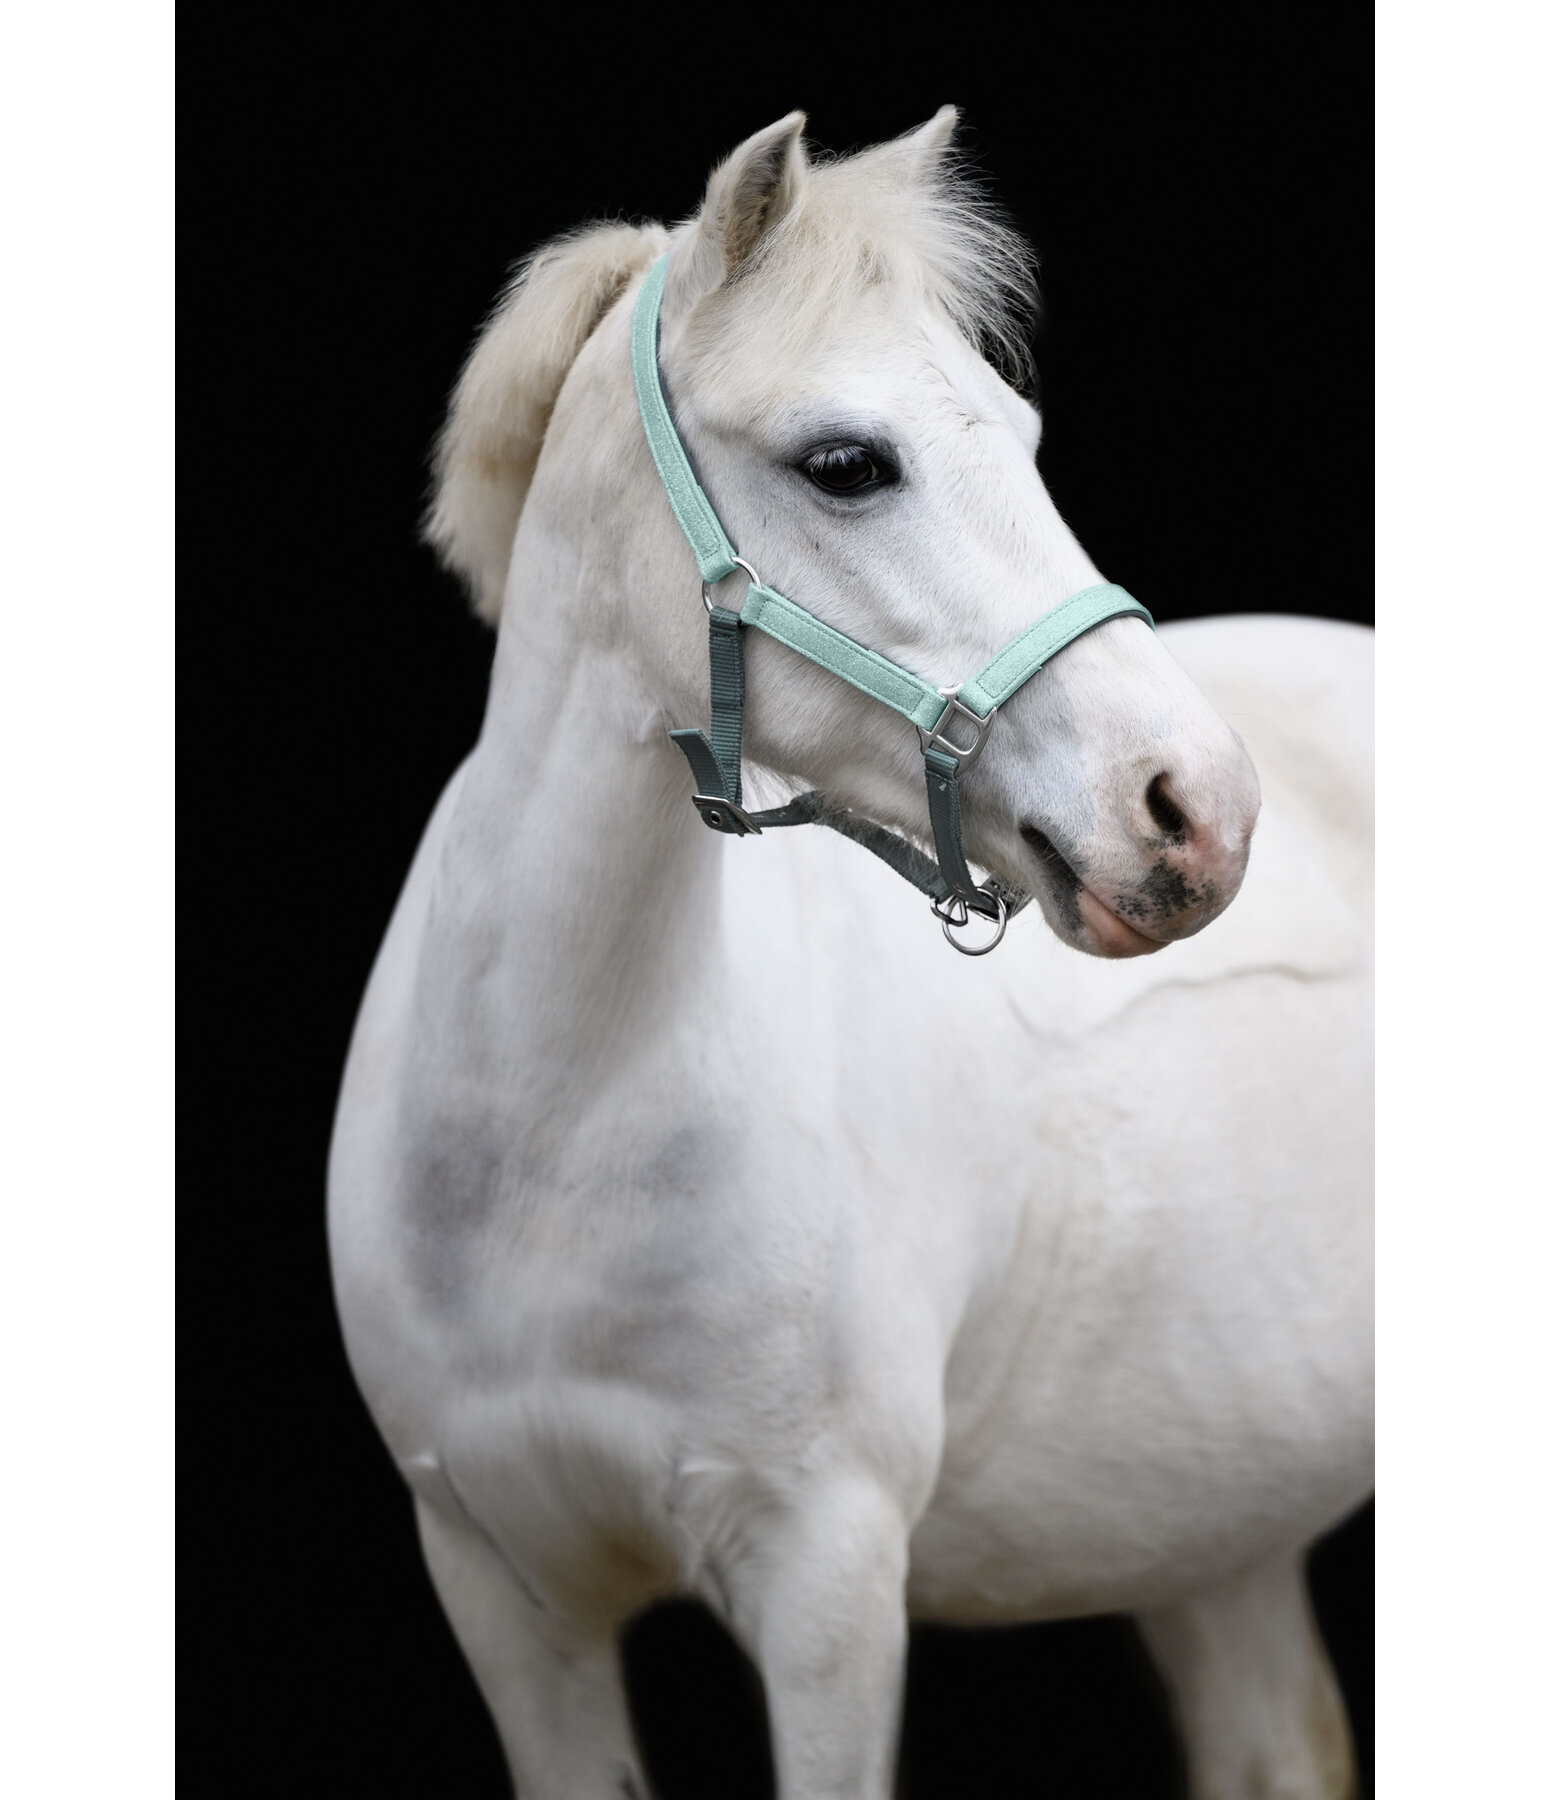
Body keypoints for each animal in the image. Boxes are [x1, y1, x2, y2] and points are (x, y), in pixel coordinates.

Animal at [328, 109, 1373, 1799]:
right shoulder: (507, 1597)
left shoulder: (827, 1589)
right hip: (1217, 1535)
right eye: (846, 464)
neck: (557, 1134)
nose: (1194, 812)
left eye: (1020, 435)